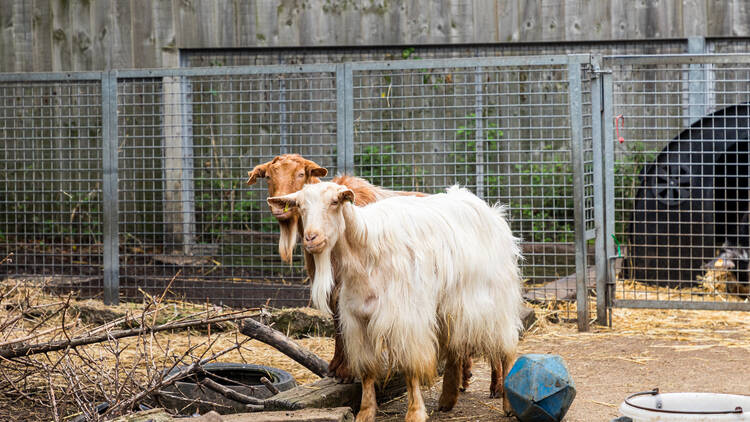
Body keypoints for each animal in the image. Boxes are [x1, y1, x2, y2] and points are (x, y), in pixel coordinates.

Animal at [268, 183, 524, 420]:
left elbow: (410, 368)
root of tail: (489, 210)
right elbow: (367, 372)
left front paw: (415, 413)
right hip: (449, 304)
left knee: (507, 345)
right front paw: (366, 412)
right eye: (300, 207)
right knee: (454, 344)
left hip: (492, 298)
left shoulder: (405, 320)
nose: (312, 238)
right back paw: (447, 399)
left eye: (334, 202)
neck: (365, 254)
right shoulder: (359, 320)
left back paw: (508, 403)